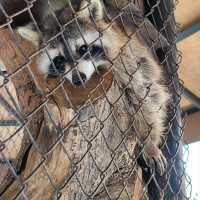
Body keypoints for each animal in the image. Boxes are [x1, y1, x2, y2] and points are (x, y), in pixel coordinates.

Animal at [17, 0, 170, 175]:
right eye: (59, 60)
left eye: (83, 49)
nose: (78, 79)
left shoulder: (123, 60)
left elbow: (141, 95)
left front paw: (149, 143)